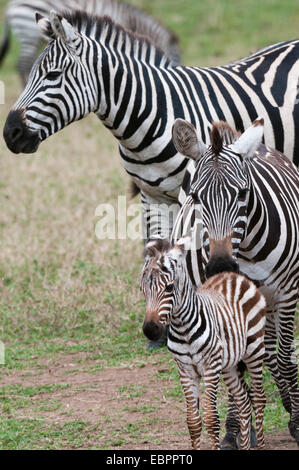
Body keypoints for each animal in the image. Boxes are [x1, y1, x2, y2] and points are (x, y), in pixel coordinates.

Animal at [141, 239, 268, 452]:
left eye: (169, 288)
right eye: (143, 290)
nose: (150, 330)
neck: (183, 328)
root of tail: (232, 275)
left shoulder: (209, 368)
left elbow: (210, 418)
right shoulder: (185, 370)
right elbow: (193, 421)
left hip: (254, 350)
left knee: (258, 398)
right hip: (228, 365)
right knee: (243, 400)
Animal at [171, 117, 299, 448]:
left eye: (242, 194)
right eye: (197, 197)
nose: (219, 265)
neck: (248, 252)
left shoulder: (287, 294)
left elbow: (283, 357)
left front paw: (296, 420)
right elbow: (237, 365)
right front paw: (234, 429)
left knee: (274, 355)